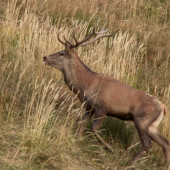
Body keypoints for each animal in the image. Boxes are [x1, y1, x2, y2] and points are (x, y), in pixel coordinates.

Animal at [43, 21, 169, 165]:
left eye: (61, 53)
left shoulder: (102, 106)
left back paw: (130, 163)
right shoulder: (89, 107)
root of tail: (163, 107)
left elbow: (93, 128)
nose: (45, 56)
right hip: (152, 125)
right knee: (165, 143)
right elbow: (81, 126)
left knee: (147, 144)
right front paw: (77, 140)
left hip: (142, 119)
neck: (86, 86)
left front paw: (109, 148)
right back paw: (165, 164)